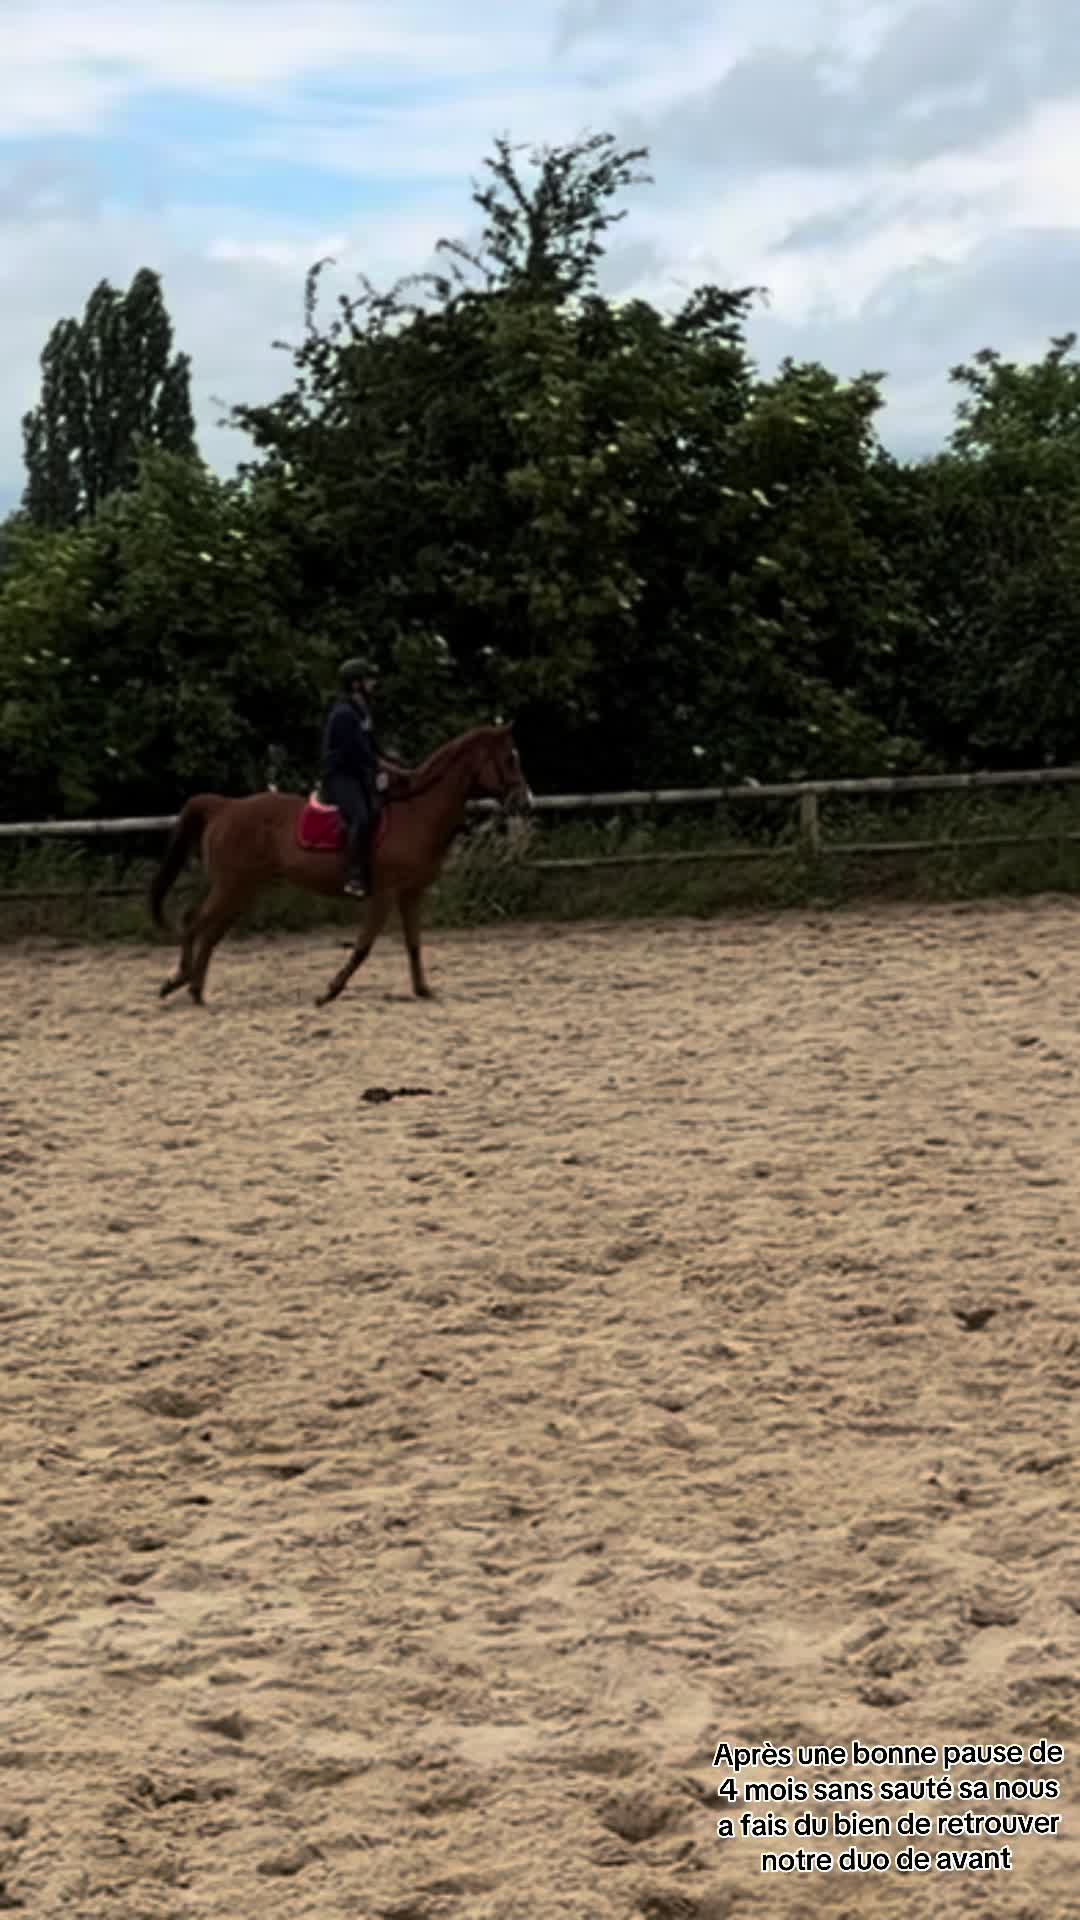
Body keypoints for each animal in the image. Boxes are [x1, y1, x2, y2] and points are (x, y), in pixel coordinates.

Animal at [149, 723, 531, 1008]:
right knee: (196, 922)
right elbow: (363, 946)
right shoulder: (385, 894)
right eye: (509, 759)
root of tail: (224, 807)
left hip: (242, 890)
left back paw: (193, 988)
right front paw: (330, 991)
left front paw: (423, 990)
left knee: (209, 929)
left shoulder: (411, 893)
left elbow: (413, 944)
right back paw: (179, 982)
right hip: (232, 886)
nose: (525, 801)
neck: (418, 812)